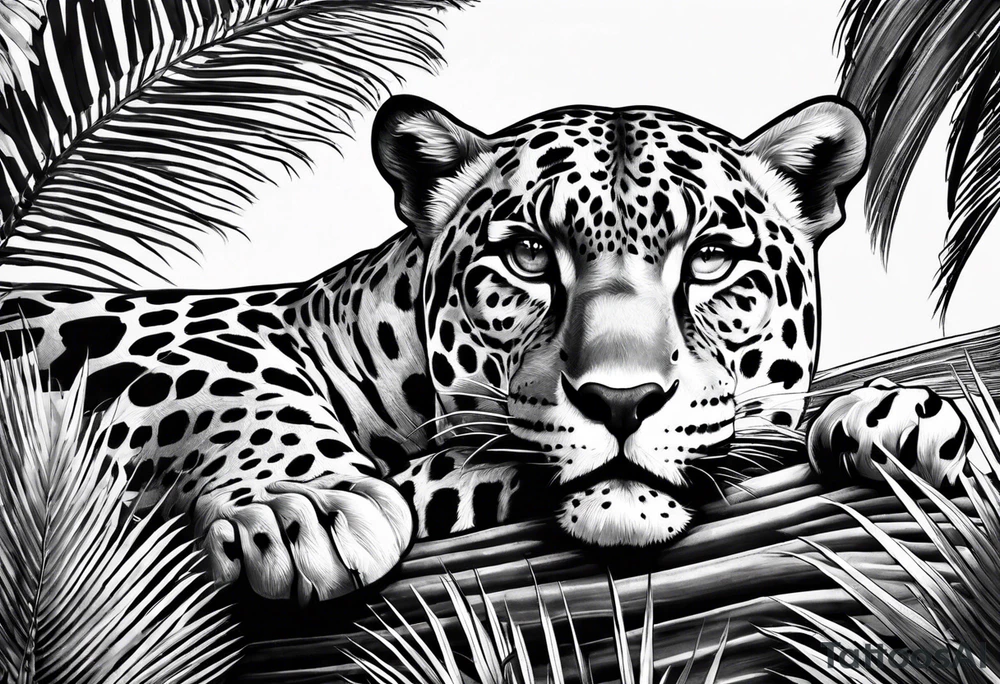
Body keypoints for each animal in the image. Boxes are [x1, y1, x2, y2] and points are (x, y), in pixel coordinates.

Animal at [0, 94, 974, 604]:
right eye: (529, 256)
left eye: (709, 259)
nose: (622, 402)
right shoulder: (106, 327)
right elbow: (226, 376)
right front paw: (305, 509)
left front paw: (899, 413)